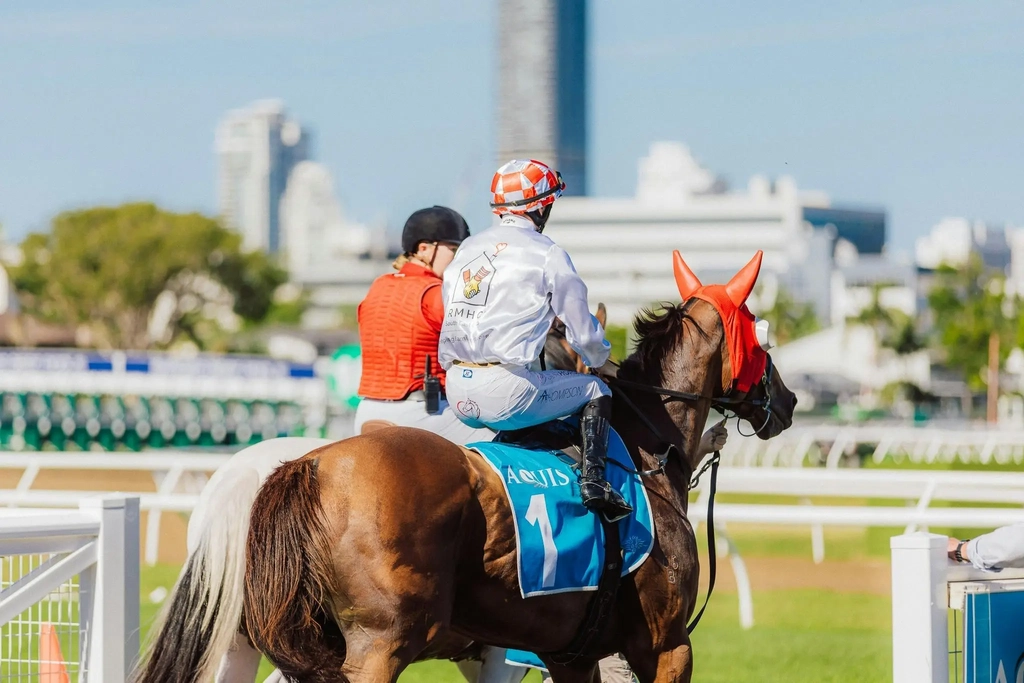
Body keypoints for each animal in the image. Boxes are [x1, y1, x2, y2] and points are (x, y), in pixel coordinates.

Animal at [239, 252, 798, 683]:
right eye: (763, 339)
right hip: (380, 645)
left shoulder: (571, 655)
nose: (788, 401)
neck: (644, 457)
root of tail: (311, 466)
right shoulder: (666, 646)